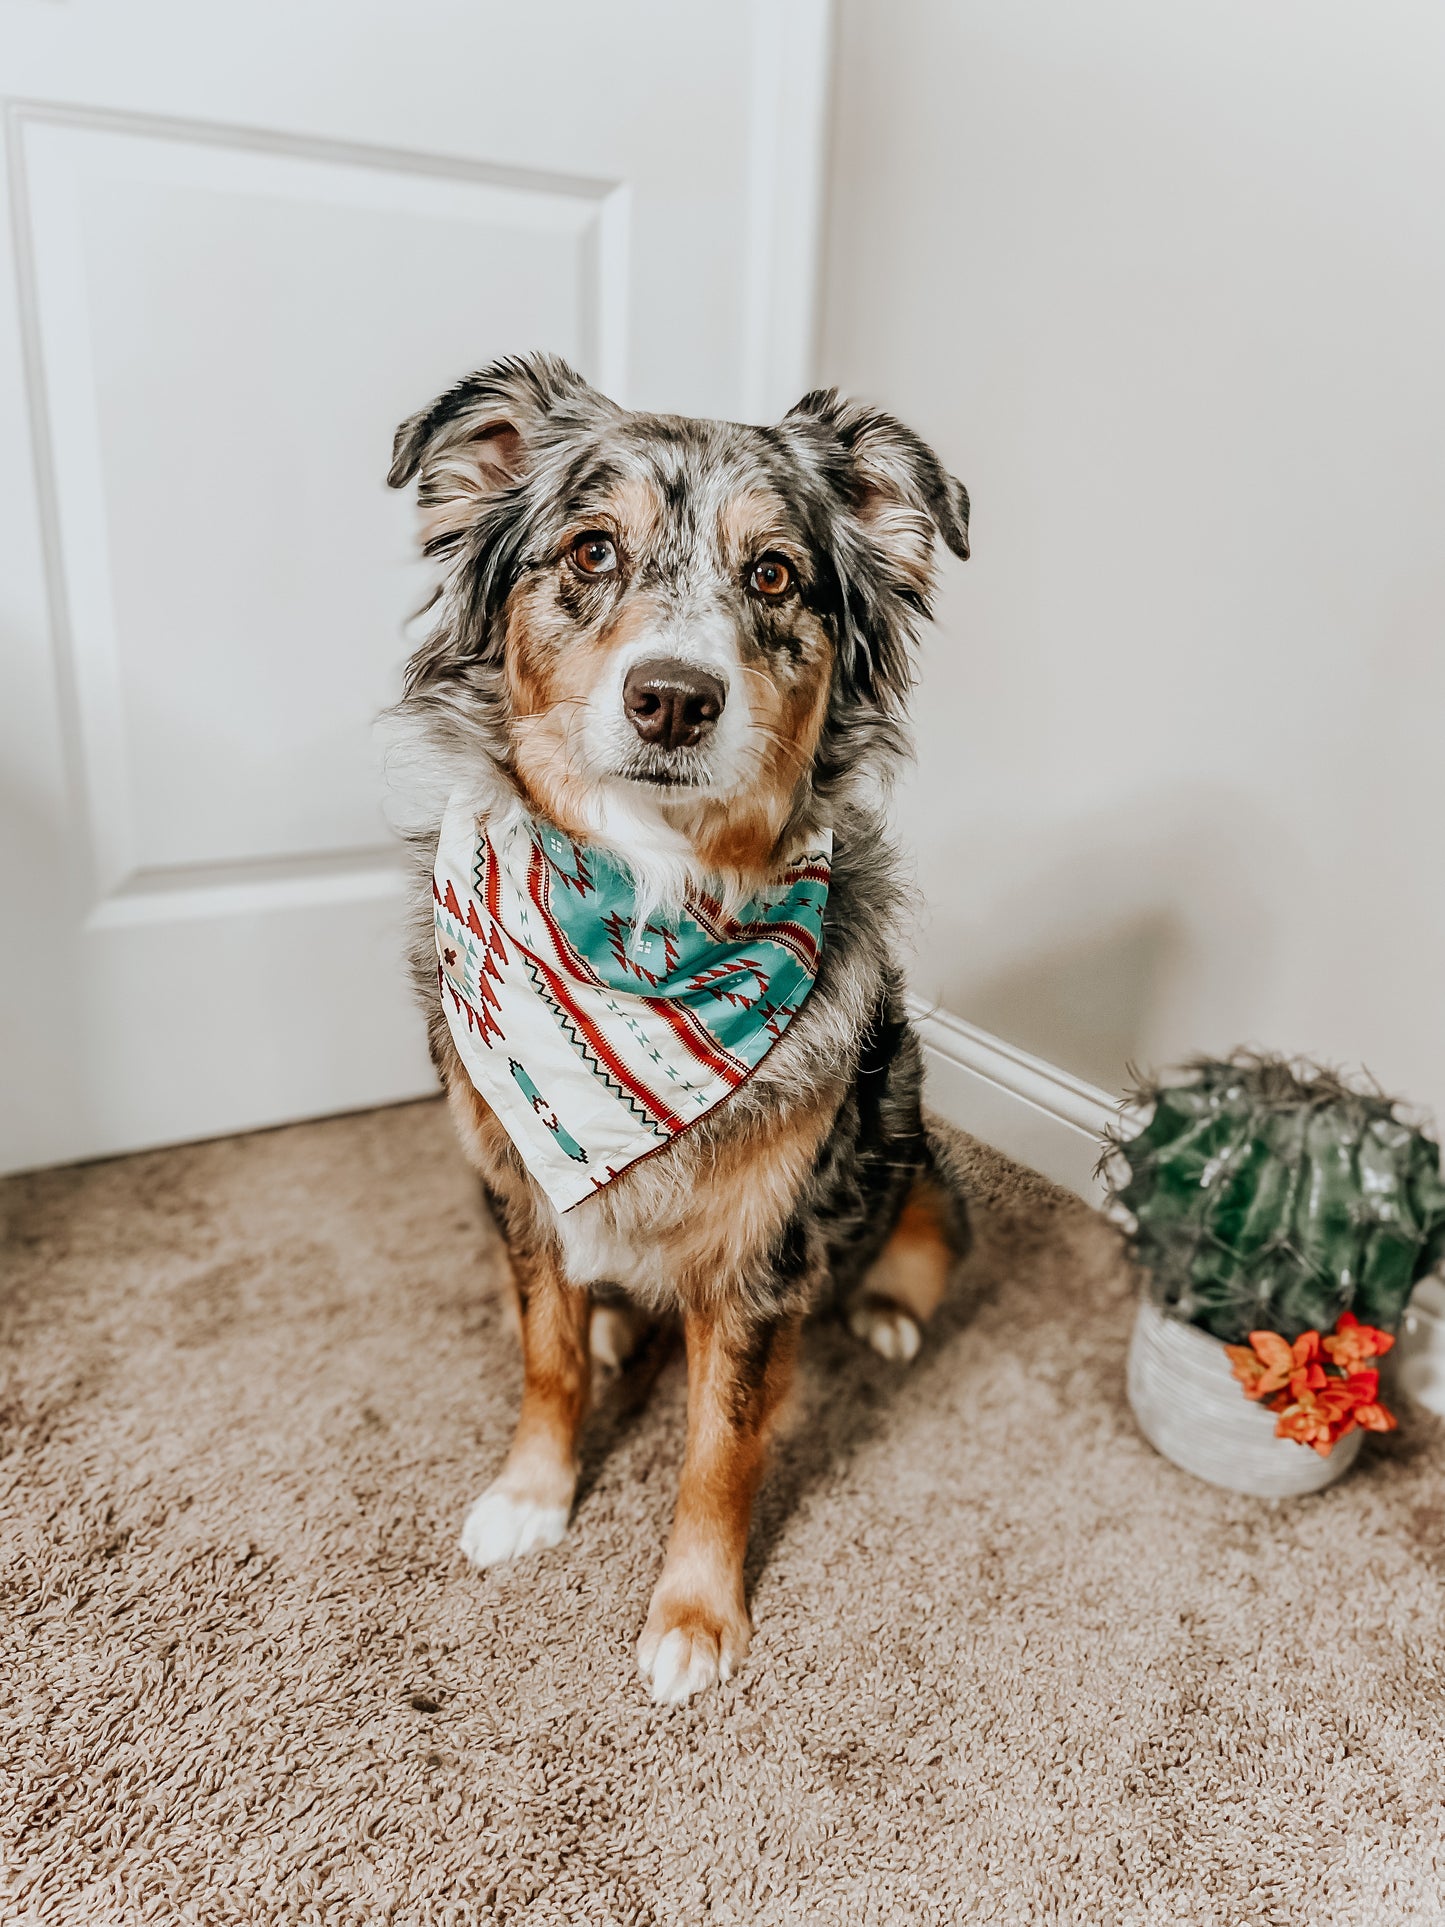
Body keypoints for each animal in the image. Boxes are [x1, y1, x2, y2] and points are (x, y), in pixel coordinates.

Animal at [385, 354, 974, 1711]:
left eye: (774, 574)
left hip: (912, 1135)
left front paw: (696, 1617)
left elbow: (721, 1441)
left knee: (919, 1234)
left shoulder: (760, 1254)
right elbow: (544, 1355)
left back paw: (884, 1310)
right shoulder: (513, 1182)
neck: (645, 913)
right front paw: (532, 1494)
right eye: (590, 550)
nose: (671, 699)